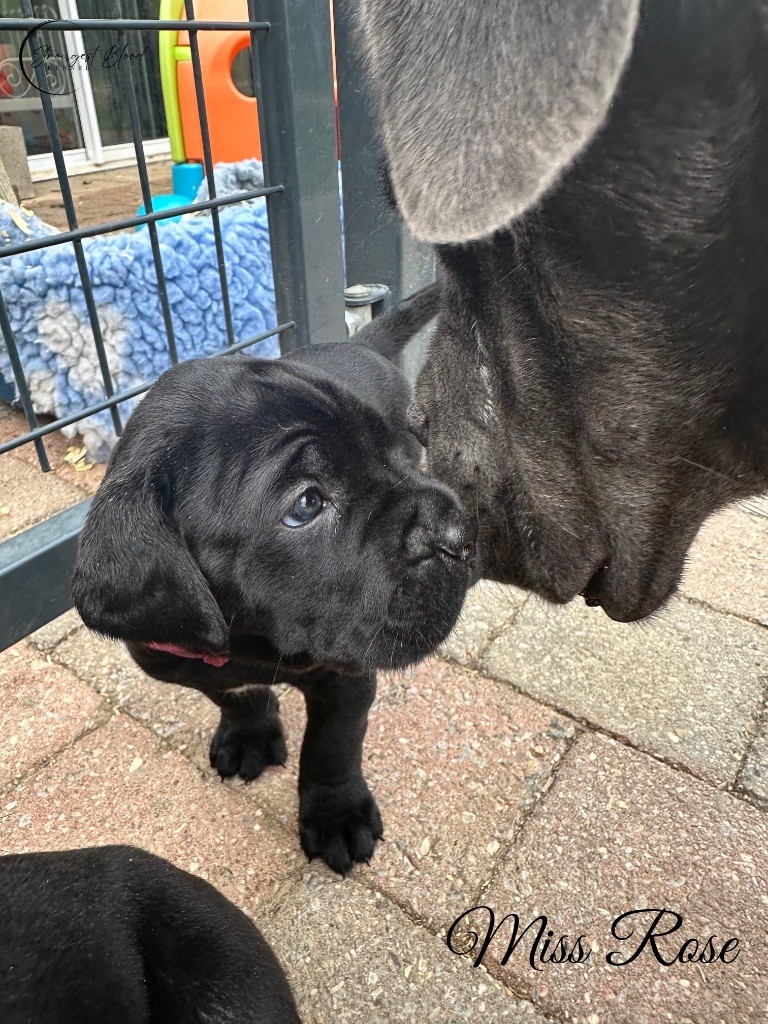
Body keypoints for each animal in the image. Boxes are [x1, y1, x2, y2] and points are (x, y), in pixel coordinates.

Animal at [72, 286, 476, 875]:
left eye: (393, 454)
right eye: (306, 504)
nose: (461, 533)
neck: (248, 642)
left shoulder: (348, 674)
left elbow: (332, 745)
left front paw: (337, 814)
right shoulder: (185, 661)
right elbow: (233, 695)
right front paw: (249, 732)